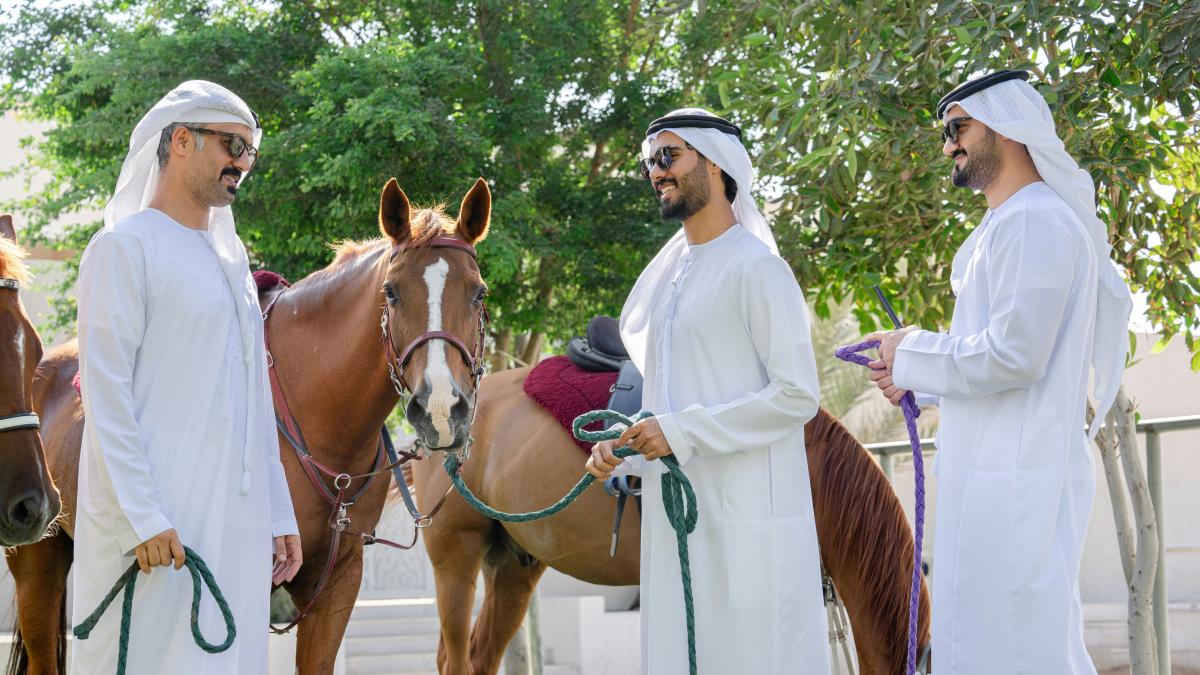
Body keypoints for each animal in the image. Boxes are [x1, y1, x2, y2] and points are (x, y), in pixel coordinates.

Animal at [4, 178, 492, 675]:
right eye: (392, 292)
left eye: (478, 294)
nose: (440, 408)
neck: (317, 413)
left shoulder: (338, 582)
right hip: (37, 560)